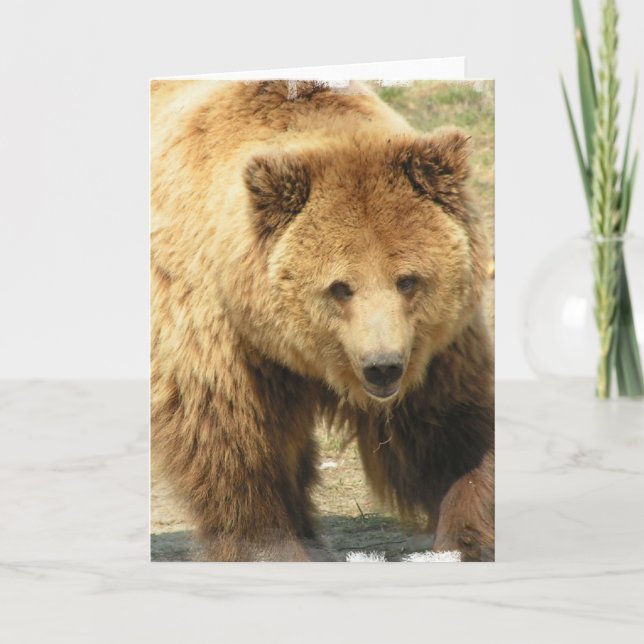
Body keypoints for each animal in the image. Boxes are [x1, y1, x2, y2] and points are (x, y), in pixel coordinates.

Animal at [150, 80, 494, 562]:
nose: (383, 367)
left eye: (408, 279)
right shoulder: (217, 332)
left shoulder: (434, 347)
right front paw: (270, 547)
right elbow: (230, 440)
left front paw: (465, 539)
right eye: (340, 287)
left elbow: (449, 429)